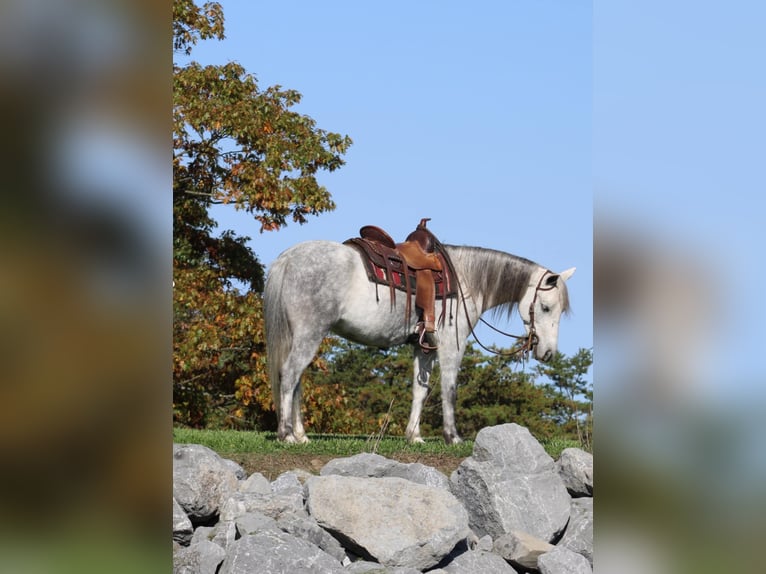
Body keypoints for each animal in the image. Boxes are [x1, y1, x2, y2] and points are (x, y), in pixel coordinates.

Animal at [268, 238, 572, 446]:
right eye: (546, 307)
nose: (548, 352)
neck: (465, 280)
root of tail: (290, 258)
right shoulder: (451, 346)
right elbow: (449, 390)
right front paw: (453, 437)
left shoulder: (423, 348)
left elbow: (420, 390)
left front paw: (414, 435)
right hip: (309, 334)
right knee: (289, 375)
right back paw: (286, 434)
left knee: (297, 381)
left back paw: (301, 434)